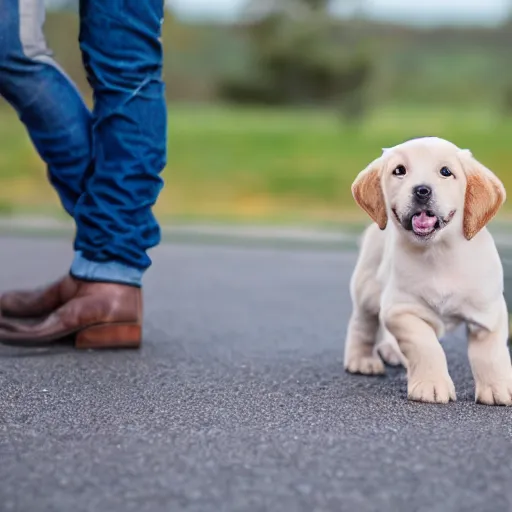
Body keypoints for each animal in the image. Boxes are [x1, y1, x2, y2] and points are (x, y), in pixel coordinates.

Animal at [344, 136, 512, 404]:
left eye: (445, 172)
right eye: (399, 170)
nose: (422, 190)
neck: (439, 252)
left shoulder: (488, 314)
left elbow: (491, 355)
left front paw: (498, 388)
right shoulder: (403, 310)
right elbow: (426, 346)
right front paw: (431, 385)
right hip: (368, 288)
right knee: (363, 324)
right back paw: (362, 360)